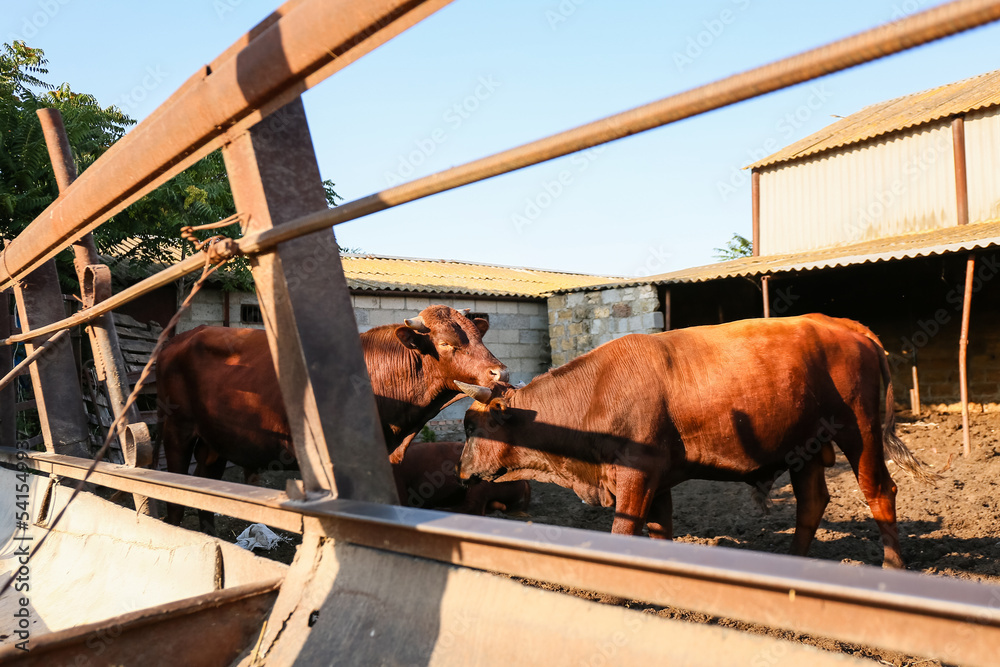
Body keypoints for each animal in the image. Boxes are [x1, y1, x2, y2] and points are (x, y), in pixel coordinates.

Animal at [160, 306, 512, 532]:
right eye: (445, 343)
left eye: (478, 338)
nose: (501, 373)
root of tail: (185, 335)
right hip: (177, 429)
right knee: (175, 489)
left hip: (214, 440)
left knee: (204, 480)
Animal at [458, 314, 940, 568]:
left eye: (471, 427)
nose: (460, 470)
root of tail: (840, 324)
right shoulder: (655, 481)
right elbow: (658, 532)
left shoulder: (636, 476)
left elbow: (624, 529)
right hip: (803, 446)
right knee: (812, 501)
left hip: (859, 432)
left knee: (880, 491)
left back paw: (893, 566)